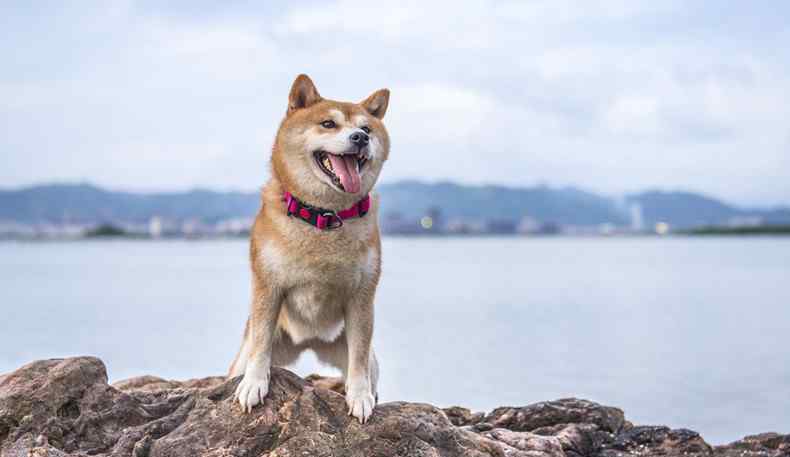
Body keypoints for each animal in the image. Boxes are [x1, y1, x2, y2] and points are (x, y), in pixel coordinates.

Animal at [227, 73, 392, 422]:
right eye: (328, 123)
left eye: (367, 128)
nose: (360, 138)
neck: (323, 217)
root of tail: (310, 341)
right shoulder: (268, 287)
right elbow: (261, 344)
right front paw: (254, 383)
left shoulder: (361, 297)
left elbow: (358, 359)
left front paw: (359, 396)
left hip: (355, 351)